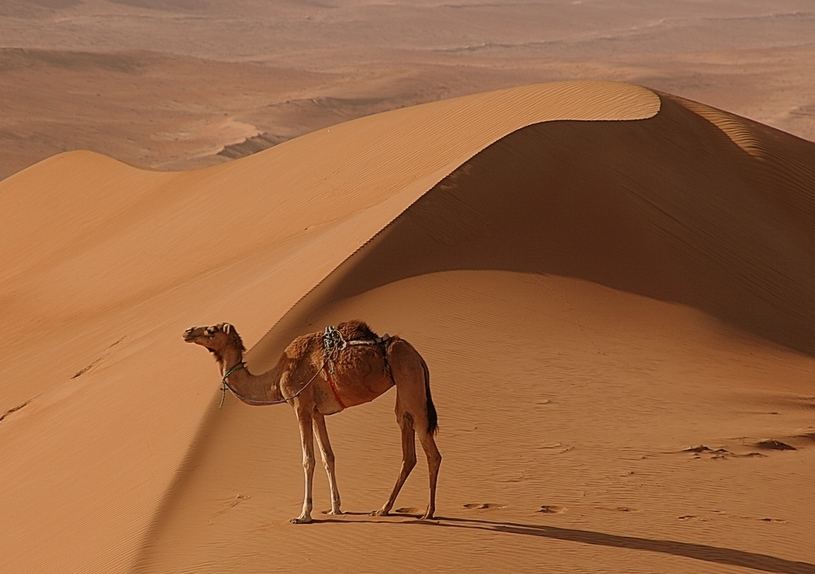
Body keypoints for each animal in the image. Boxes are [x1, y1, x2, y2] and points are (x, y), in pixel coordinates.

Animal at [182, 322, 444, 524]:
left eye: (212, 330)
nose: (187, 331)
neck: (276, 379)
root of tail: (419, 357)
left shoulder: (302, 406)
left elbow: (308, 459)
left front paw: (303, 515)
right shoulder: (318, 412)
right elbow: (328, 456)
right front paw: (335, 508)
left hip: (410, 381)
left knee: (431, 451)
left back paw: (428, 512)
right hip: (405, 394)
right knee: (408, 450)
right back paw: (384, 509)